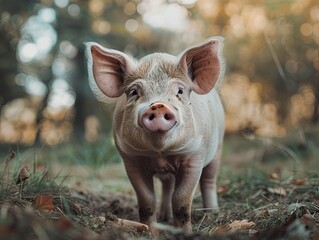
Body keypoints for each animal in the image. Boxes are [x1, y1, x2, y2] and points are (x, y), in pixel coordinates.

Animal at [85, 36, 225, 233]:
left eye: (180, 91)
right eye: (134, 92)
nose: (158, 105)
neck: (160, 154)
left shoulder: (195, 156)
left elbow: (181, 199)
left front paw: (185, 233)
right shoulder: (131, 159)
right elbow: (147, 199)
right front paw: (152, 232)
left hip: (218, 147)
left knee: (209, 179)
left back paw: (212, 213)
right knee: (168, 186)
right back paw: (165, 217)